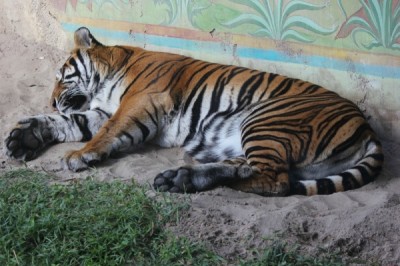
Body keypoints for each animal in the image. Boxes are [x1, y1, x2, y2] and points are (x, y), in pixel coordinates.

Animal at [4, 28, 382, 196]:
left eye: (60, 77)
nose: (51, 101)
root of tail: (366, 126)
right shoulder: (100, 111)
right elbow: (69, 122)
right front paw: (24, 137)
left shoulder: (140, 101)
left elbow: (106, 132)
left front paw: (78, 156)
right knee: (249, 168)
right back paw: (179, 178)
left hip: (268, 119)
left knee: (276, 181)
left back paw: (185, 180)